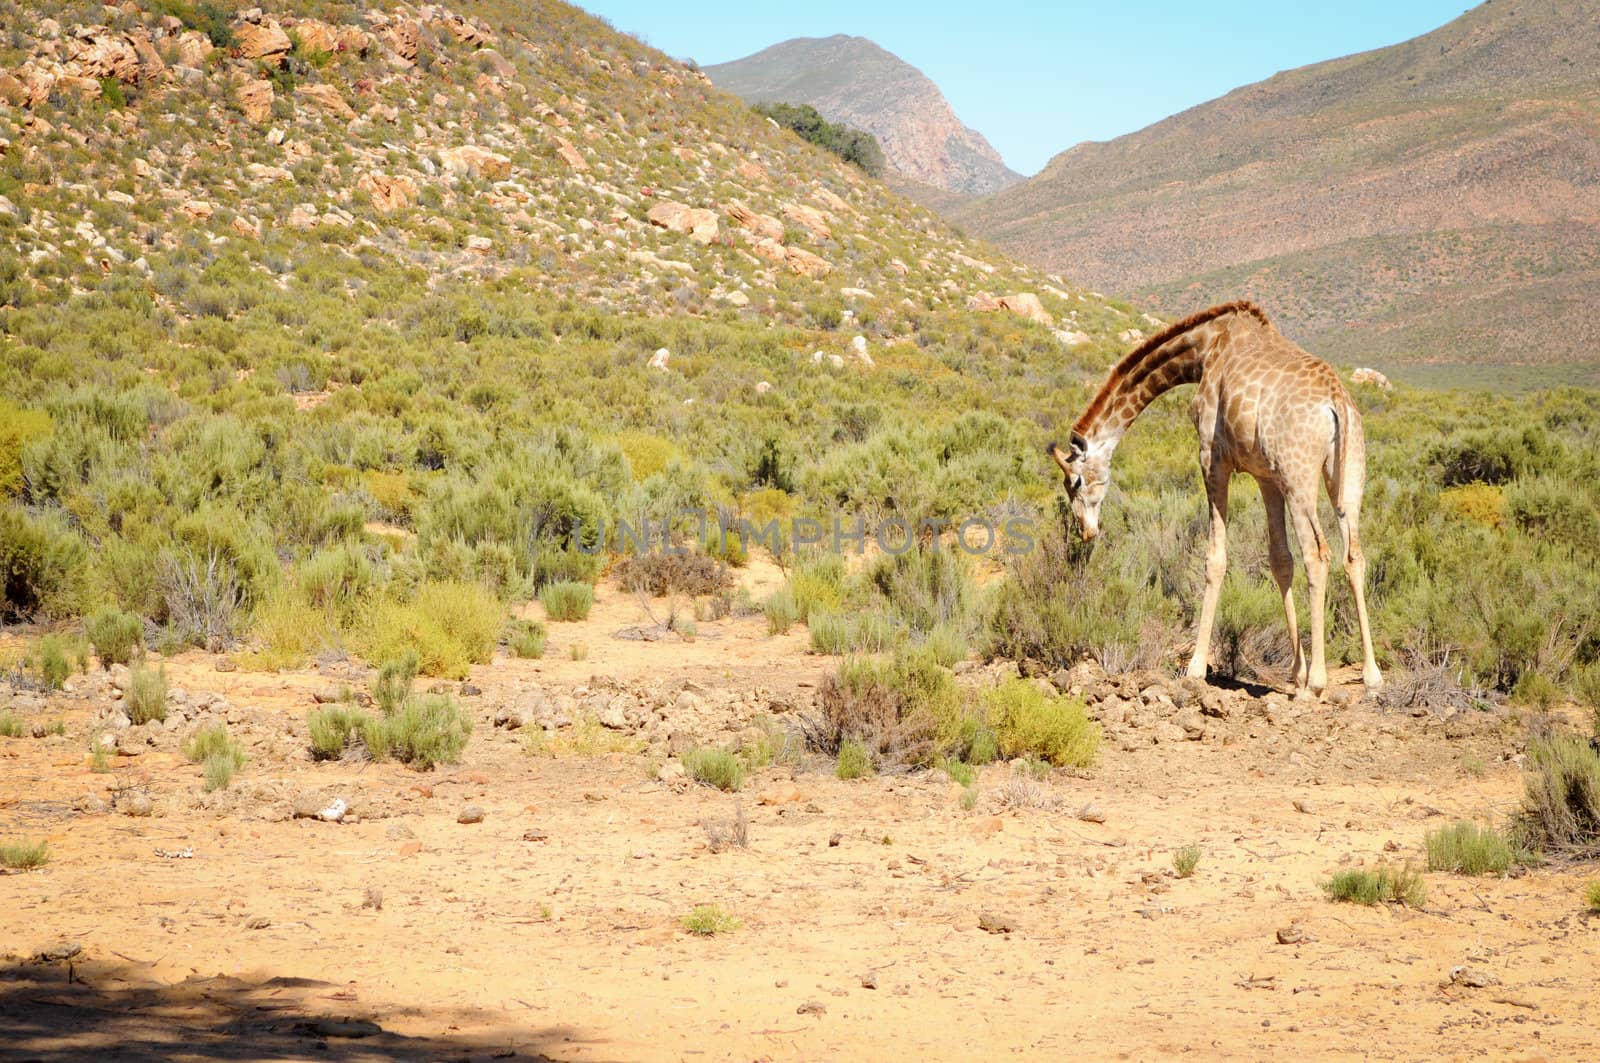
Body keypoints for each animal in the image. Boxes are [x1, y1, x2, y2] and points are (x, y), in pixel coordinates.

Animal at [1049, 300, 1376, 697]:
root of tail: (1336, 404)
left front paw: (1195, 668)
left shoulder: (1211, 457)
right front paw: (1295, 671)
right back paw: (1371, 674)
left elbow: (1215, 559)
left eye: (1075, 481)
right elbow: (1280, 561)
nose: (1086, 531)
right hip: (1347, 478)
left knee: (1317, 554)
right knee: (1353, 555)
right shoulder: (1266, 475)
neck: (1203, 350)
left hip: (1299, 479)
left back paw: (1317, 682)